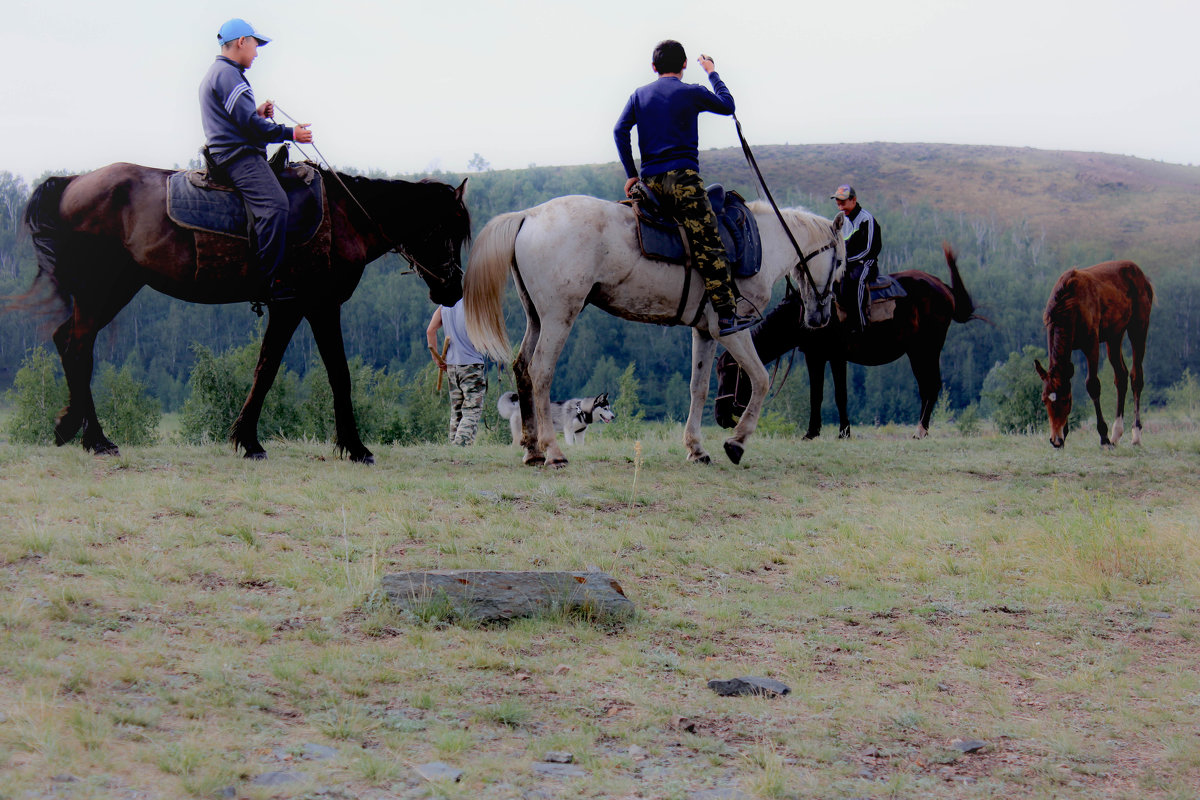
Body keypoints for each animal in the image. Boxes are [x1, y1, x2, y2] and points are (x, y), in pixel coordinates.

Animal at [19, 160, 468, 462]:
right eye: (445, 231)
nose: (453, 288)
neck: (345, 217)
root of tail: (72, 182)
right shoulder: (312, 306)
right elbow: (326, 373)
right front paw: (354, 447)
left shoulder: (296, 308)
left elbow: (268, 367)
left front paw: (247, 438)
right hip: (103, 289)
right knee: (79, 348)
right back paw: (96, 438)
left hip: (112, 291)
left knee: (67, 341)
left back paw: (72, 427)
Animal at [458, 196, 844, 465]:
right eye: (840, 260)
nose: (821, 316)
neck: (760, 242)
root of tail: (529, 216)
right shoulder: (731, 330)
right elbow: (761, 380)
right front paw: (736, 443)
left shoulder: (704, 332)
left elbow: (698, 388)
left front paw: (696, 448)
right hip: (558, 317)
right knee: (540, 371)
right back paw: (552, 451)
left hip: (538, 318)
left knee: (522, 367)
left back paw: (533, 450)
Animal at [715, 244, 979, 441]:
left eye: (731, 375)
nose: (720, 417)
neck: (801, 315)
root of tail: (944, 288)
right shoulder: (821, 356)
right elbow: (825, 394)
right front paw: (826, 432)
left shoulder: (830, 356)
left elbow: (831, 394)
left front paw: (830, 432)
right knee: (928, 387)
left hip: (925, 350)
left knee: (930, 386)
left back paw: (920, 430)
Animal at [1032, 262, 1152, 450]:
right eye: (1044, 400)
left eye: (1066, 401)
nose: (1055, 440)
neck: (1069, 304)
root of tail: (1143, 277)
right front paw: (1065, 433)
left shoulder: (1091, 343)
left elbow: (1093, 385)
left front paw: (1103, 437)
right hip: (1114, 335)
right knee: (1121, 376)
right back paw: (1116, 433)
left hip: (1138, 327)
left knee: (1136, 377)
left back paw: (1135, 435)